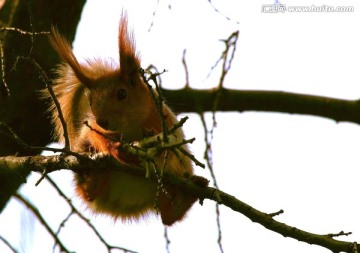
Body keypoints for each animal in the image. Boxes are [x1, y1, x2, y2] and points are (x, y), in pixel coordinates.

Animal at [43, 13, 205, 225]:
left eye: (122, 94)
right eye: (91, 101)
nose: (102, 121)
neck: (131, 125)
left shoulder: (167, 123)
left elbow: (169, 145)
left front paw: (153, 141)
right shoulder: (91, 126)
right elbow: (97, 136)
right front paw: (114, 148)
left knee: (169, 216)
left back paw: (189, 192)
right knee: (90, 191)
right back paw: (93, 178)